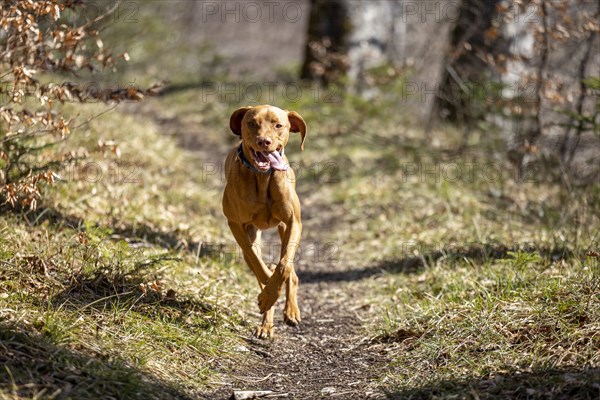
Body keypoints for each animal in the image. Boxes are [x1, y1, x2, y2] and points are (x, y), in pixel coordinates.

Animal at [223, 104, 308, 338]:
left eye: (278, 125)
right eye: (252, 123)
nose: (264, 141)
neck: (262, 178)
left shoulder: (293, 223)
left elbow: (284, 265)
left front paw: (273, 292)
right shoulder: (237, 225)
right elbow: (257, 263)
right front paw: (267, 295)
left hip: (282, 229)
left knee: (290, 272)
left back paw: (291, 311)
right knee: (257, 264)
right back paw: (266, 324)